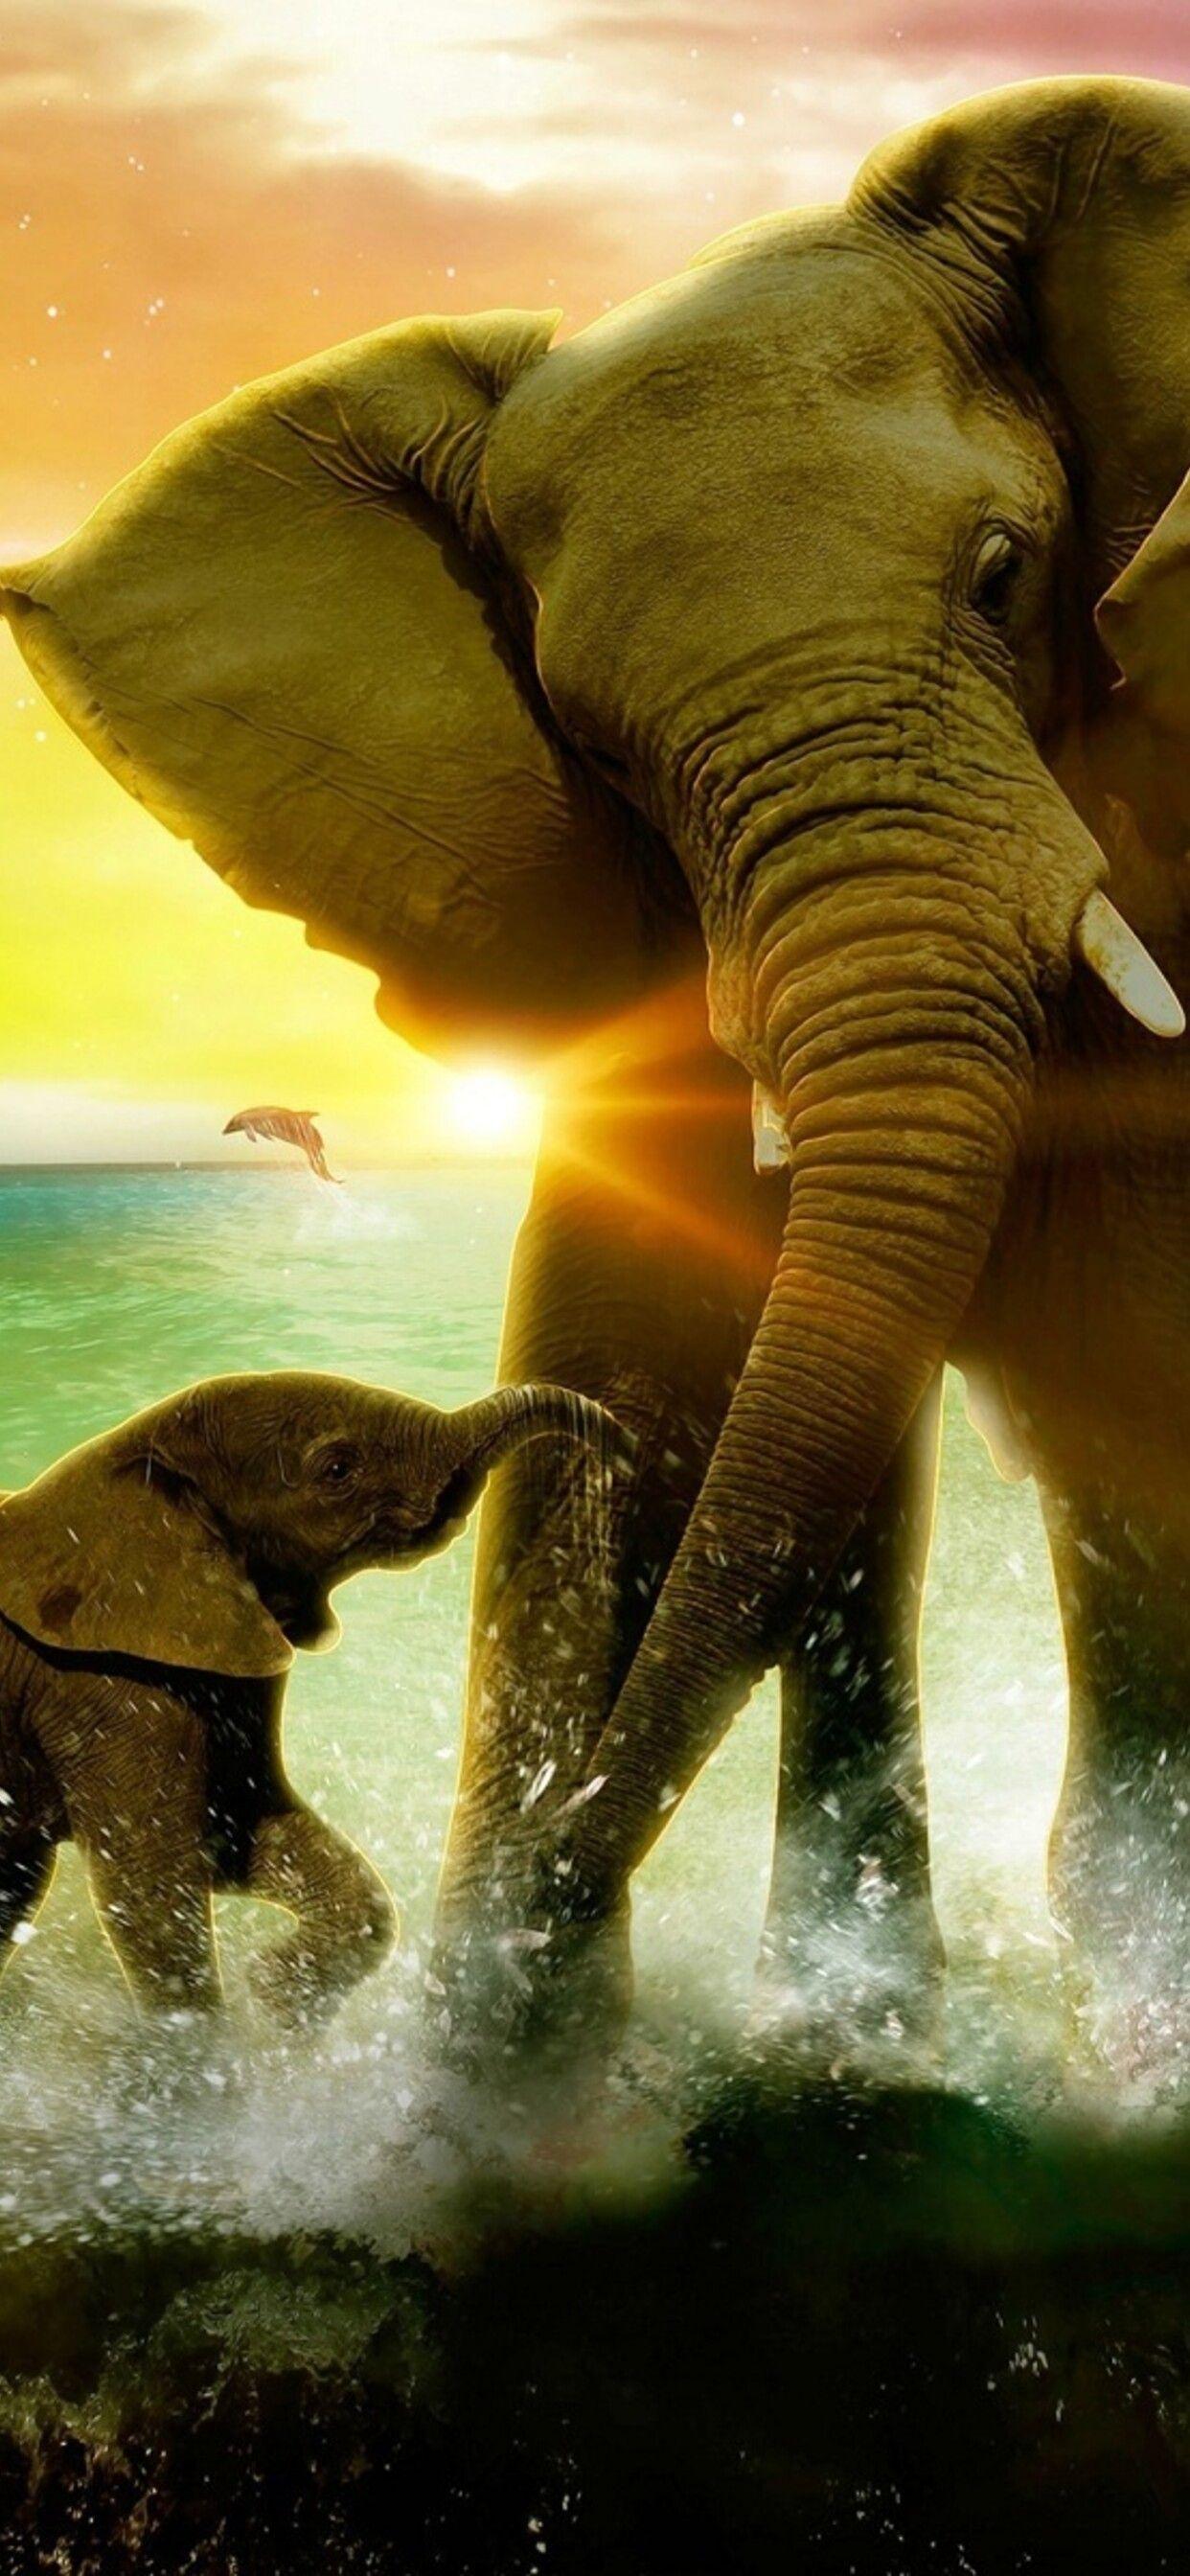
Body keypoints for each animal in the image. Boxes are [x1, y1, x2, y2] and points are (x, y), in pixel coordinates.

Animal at [0, 1373, 615, 2019]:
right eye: (338, 1469)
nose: (611, 1435)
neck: (128, 1456)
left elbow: (240, 1829)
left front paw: (276, 1996)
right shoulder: (107, 1690)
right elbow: (151, 1887)